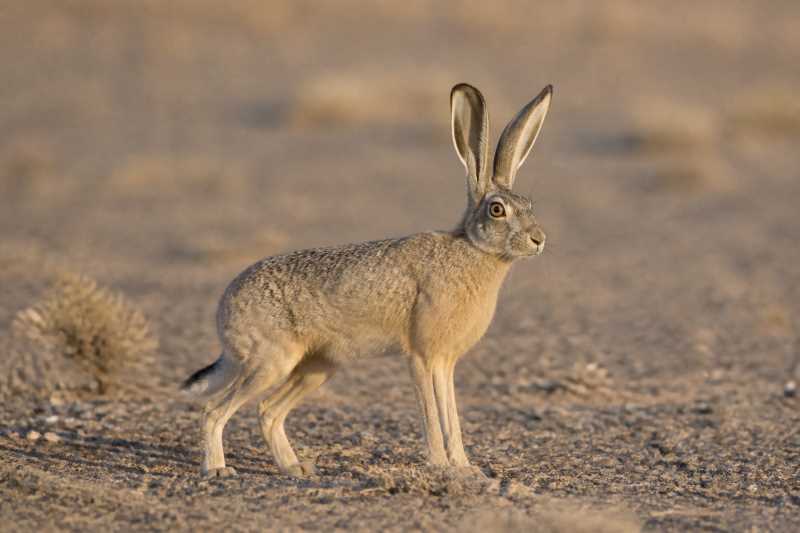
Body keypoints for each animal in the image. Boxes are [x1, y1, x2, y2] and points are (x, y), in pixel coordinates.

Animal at [182, 83, 553, 478]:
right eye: (497, 210)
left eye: (529, 205)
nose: (538, 240)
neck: (473, 249)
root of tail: (224, 311)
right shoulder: (422, 357)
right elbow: (432, 415)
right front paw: (441, 465)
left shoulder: (445, 362)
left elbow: (451, 416)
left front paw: (466, 468)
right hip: (271, 360)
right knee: (214, 411)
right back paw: (217, 469)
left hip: (317, 368)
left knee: (268, 411)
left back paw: (296, 469)